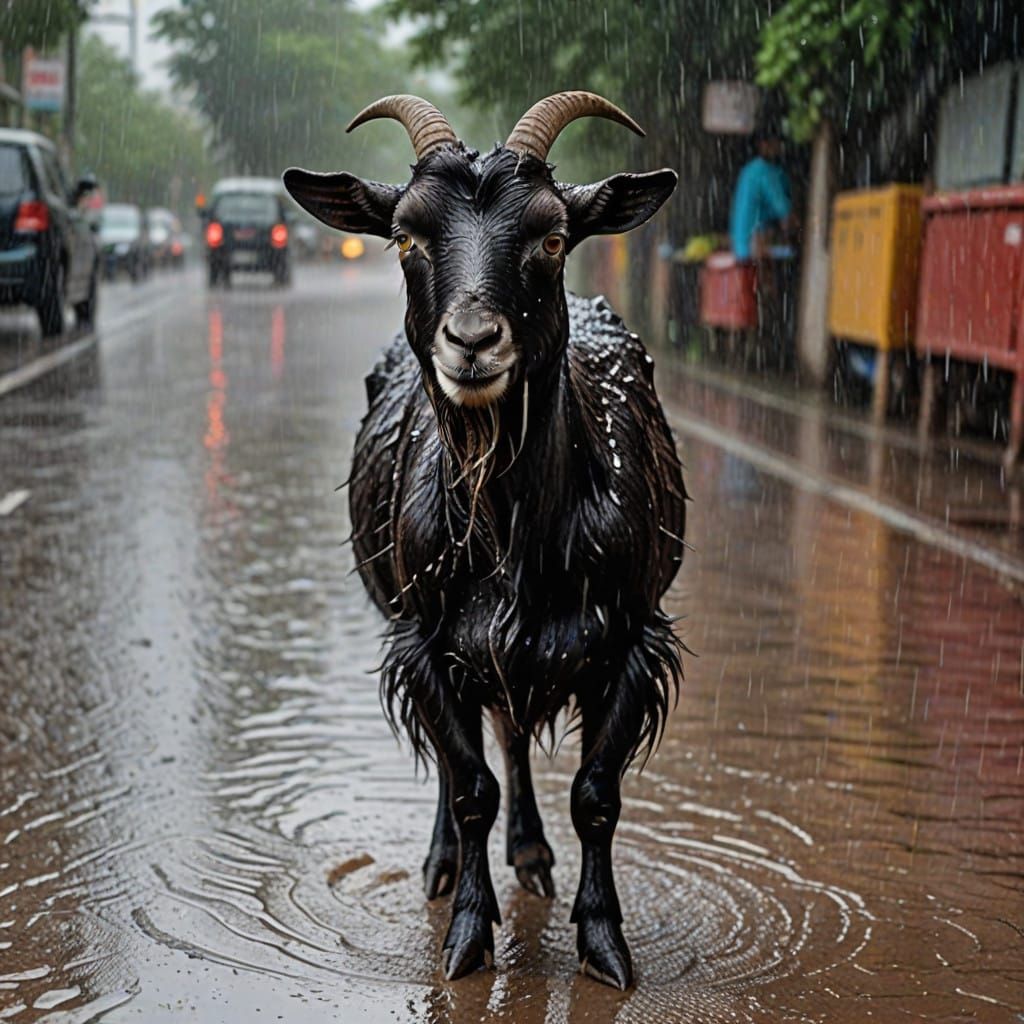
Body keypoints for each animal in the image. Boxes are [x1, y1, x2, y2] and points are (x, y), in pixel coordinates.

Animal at [284, 91, 686, 990]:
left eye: (552, 236)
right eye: (405, 235)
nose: (472, 340)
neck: (515, 533)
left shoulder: (630, 640)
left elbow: (596, 795)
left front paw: (604, 941)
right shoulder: (428, 639)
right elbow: (469, 787)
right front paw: (467, 937)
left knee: (509, 731)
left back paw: (532, 855)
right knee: (465, 755)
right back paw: (443, 864)